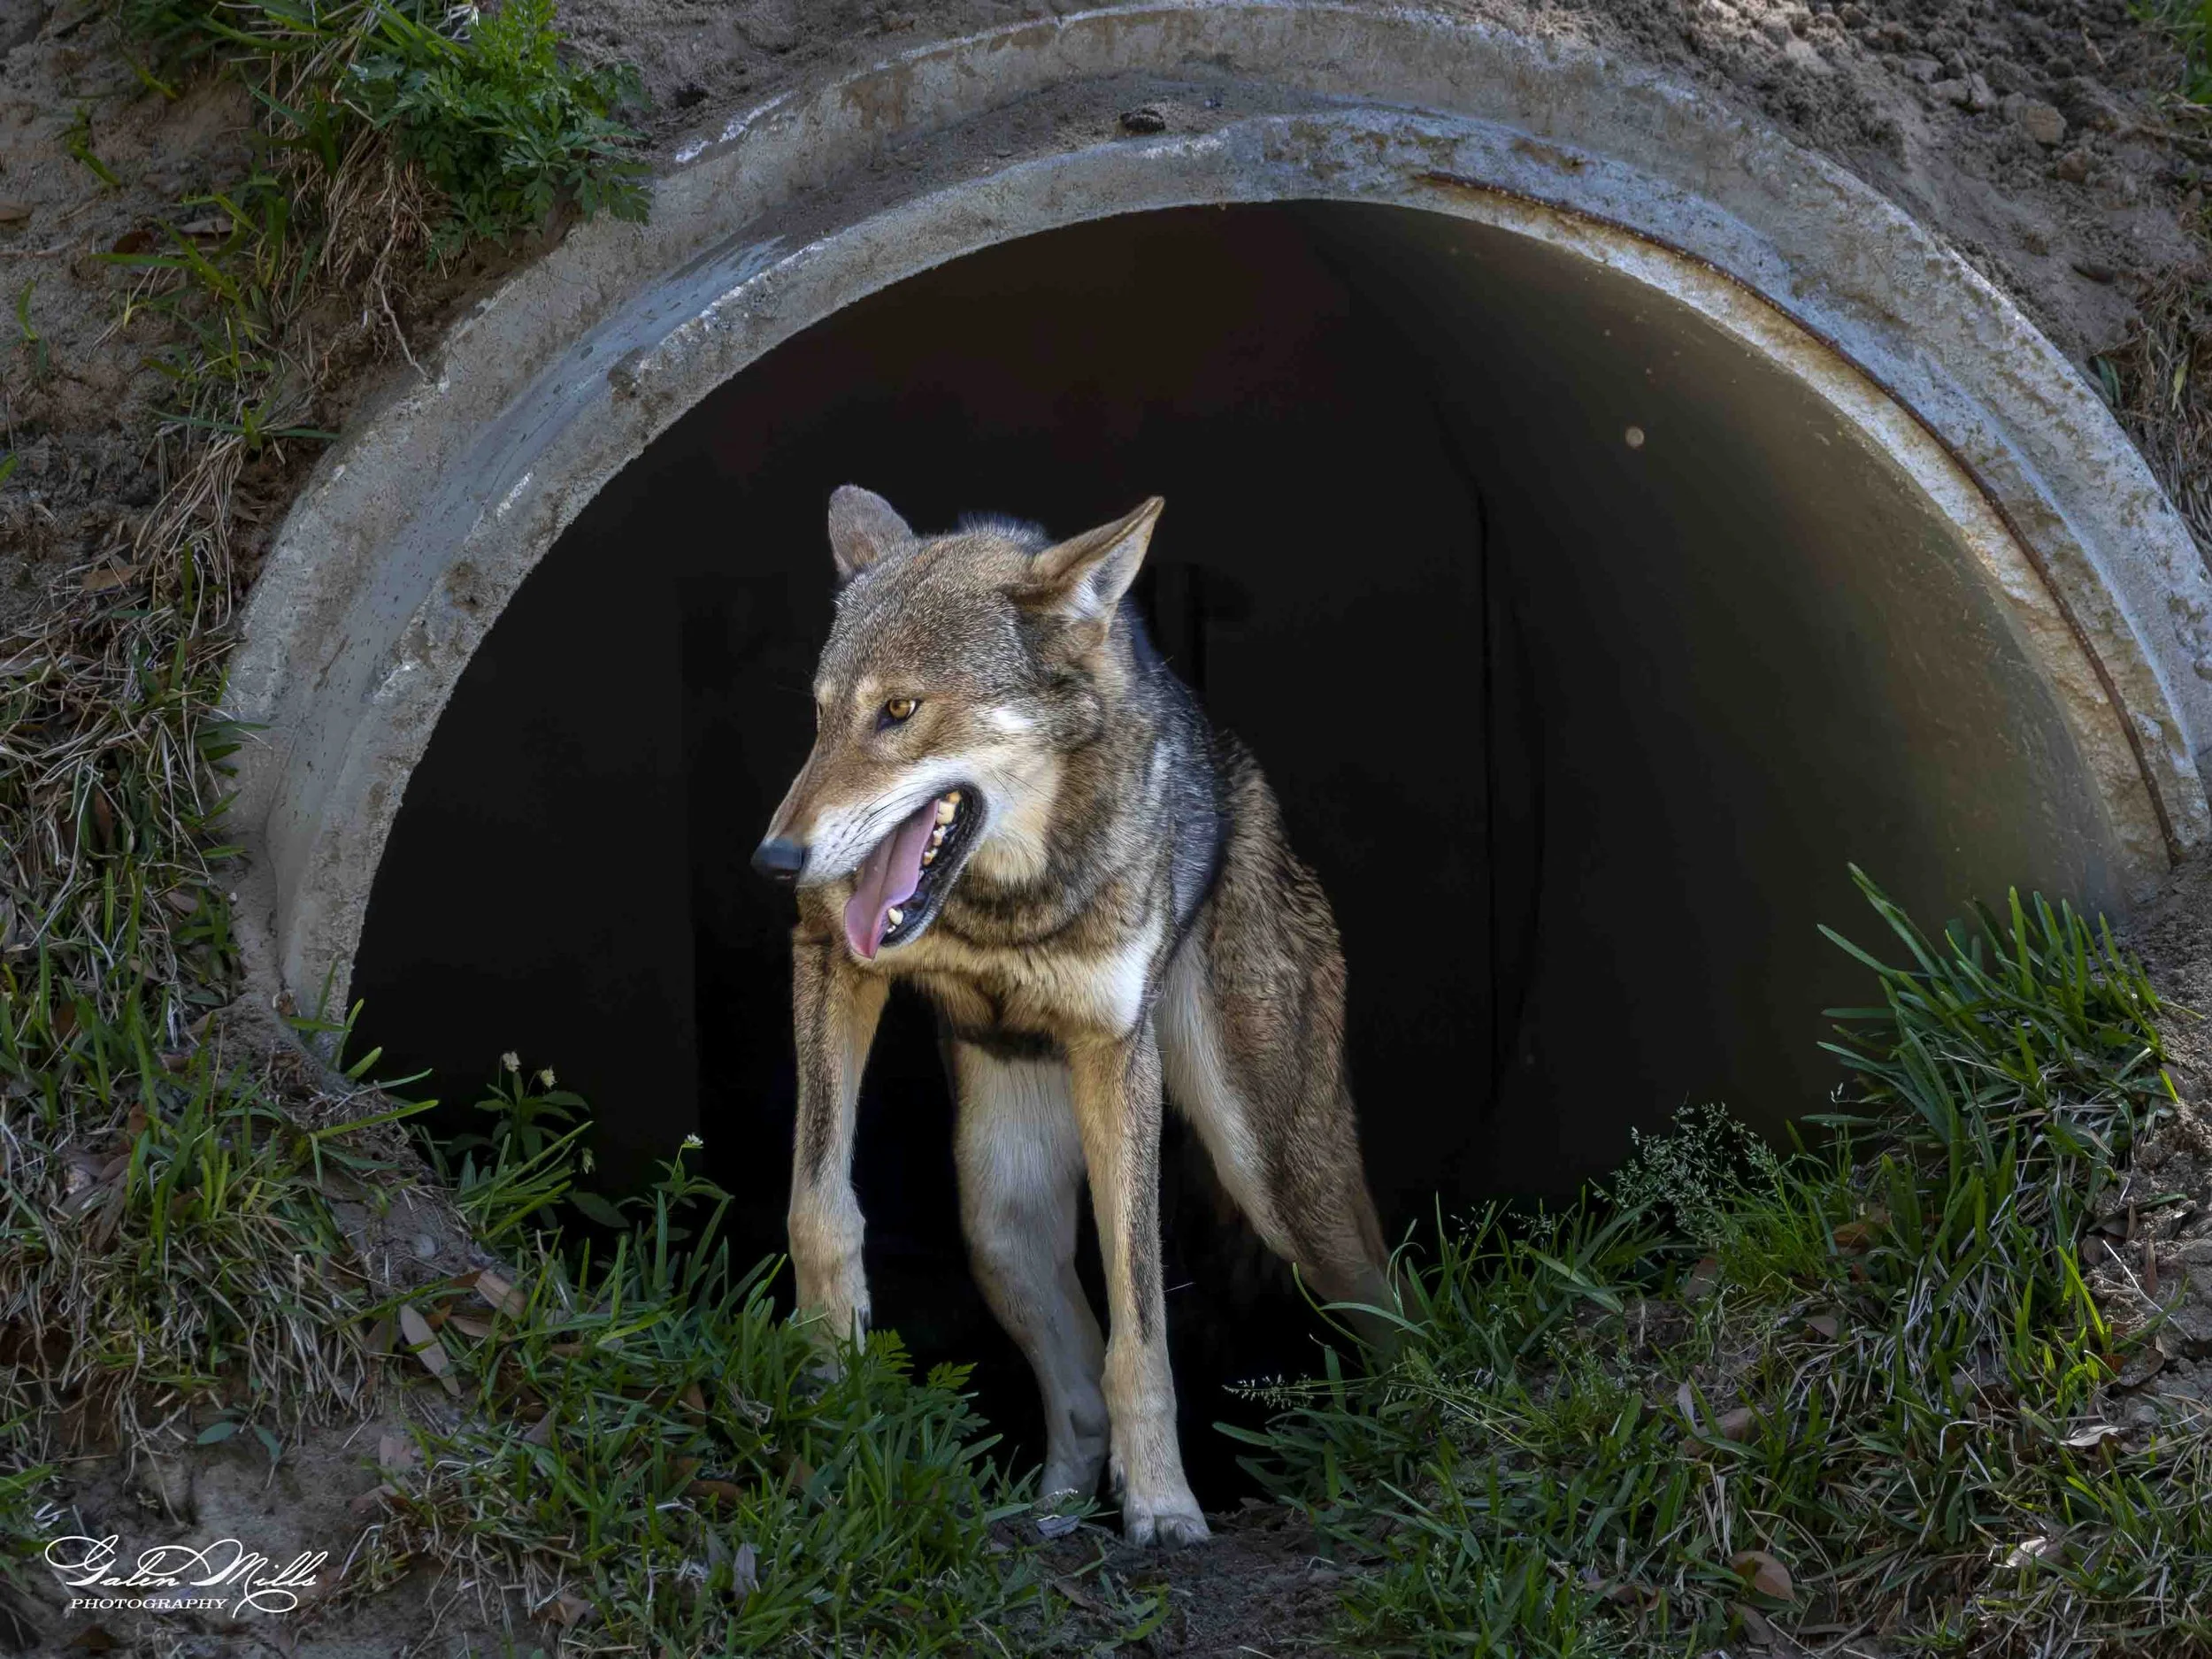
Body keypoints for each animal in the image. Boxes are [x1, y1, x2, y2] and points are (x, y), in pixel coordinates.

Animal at [752, 487, 1394, 1546]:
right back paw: (1047, 1515)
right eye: (818, 716)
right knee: (1076, 1393)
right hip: (999, 1219)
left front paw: (1167, 1509)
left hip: (1282, 1184)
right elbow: (819, 1205)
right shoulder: (830, 960)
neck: (1005, 904)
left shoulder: (1114, 1051)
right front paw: (826, 1372)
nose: (777, 861)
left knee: (1395, 1302)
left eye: (899, 711)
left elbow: (1142, 1329)